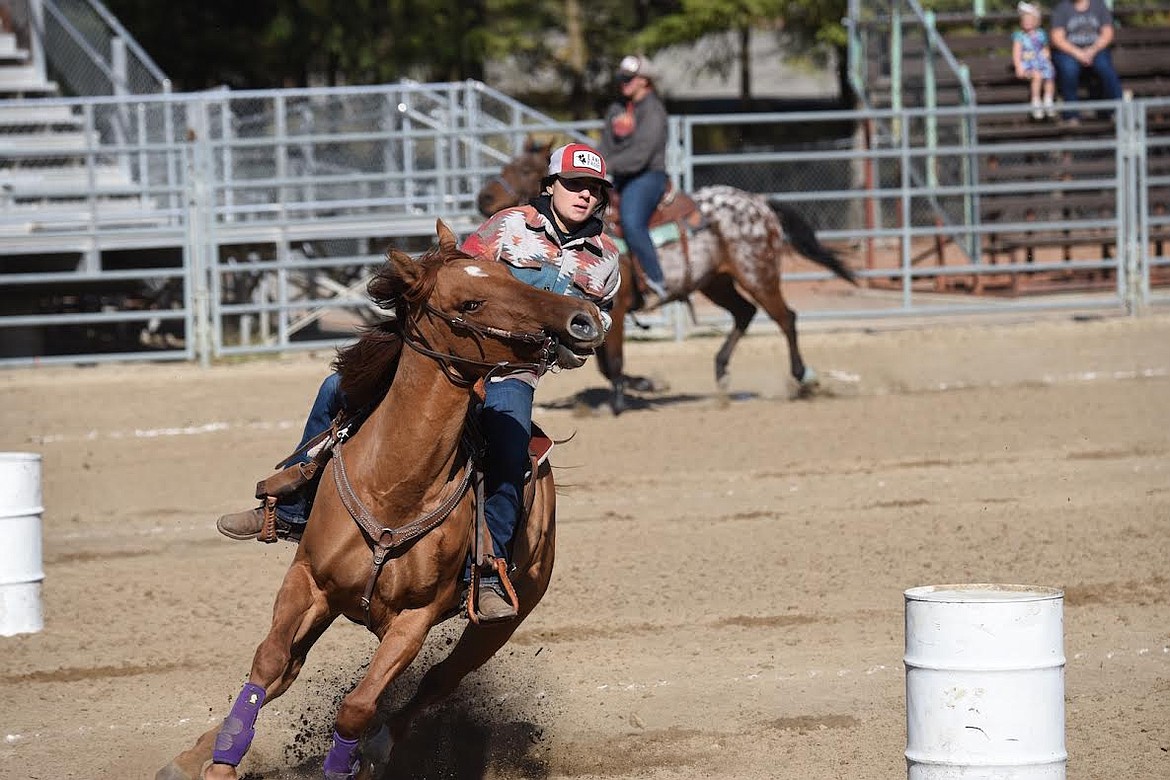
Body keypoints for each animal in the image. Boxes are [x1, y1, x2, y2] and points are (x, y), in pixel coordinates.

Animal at [155, 219, 603, 780]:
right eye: (473, 301)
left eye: (512, 279)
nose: (583, 318)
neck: (395, 486)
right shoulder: (307, 579)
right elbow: (270, 661)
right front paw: (219, 761)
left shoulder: (415, 619)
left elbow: (359, 706)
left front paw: (356, 757)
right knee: (289, 668)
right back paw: (190, 756)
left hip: (503, 620)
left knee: (437, 681)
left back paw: (381, 747)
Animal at [477, 137, 861, 413]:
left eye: (524, 168)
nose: (483, 198)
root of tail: (760, 204)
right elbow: (602, 361)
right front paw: (641, 385)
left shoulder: (615, 308)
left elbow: (612, 362)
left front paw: (627, 396)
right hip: (717, 281)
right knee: (745, 313)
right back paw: (721, 373)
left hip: (758, 273)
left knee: (785, 318)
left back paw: (803, 378)